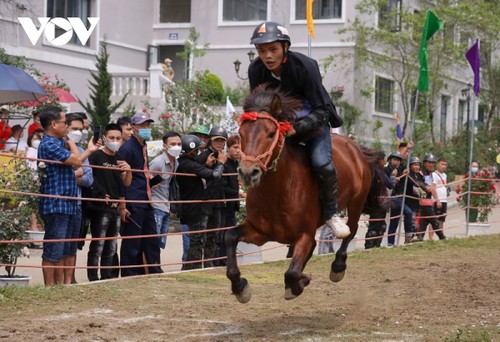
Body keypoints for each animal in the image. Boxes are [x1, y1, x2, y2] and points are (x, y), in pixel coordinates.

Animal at [227, 87, 386, 302]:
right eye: (241, 134)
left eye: (271, 133)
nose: (248, 172)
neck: (278, 193)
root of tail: (355, 146)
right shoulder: (259, 232)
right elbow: (229, 236)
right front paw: (240, 286)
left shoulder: (304, 234)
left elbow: (292, 273)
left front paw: (299, 283)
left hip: (356, 202)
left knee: (351, 230)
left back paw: (338, 266)